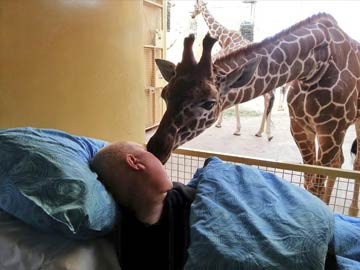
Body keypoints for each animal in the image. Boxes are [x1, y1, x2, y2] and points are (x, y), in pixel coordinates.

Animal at [190, 0, 274, 139]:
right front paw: (223, 124)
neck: (224, 38)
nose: (192, 15)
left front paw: (236, 129)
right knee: (269, 98)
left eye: (194, 5)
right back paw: (262, 132)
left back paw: (266, 133)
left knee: (268, 97)